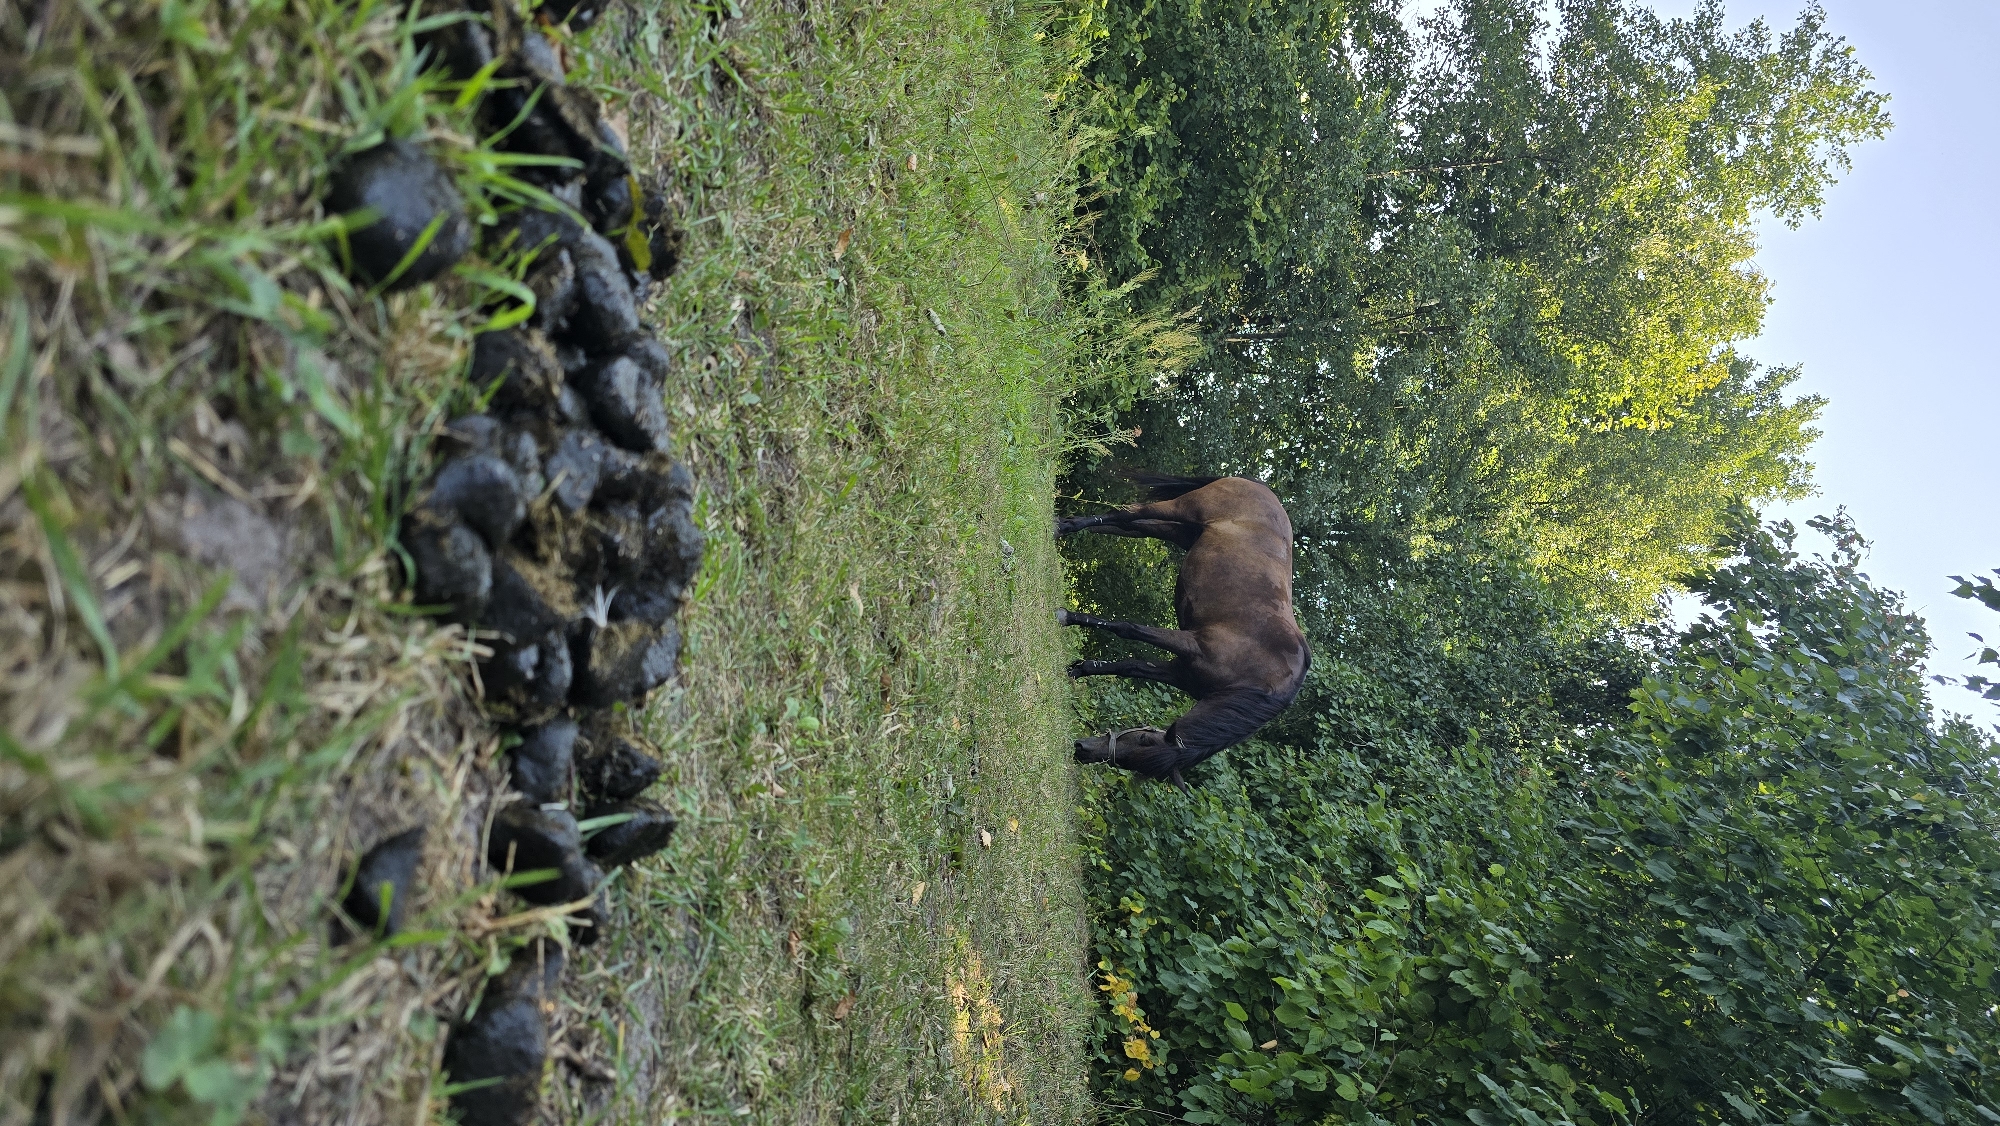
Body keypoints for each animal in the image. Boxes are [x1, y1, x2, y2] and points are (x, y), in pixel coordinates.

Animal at [1058, 474, 1310, 787]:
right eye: (1142, 739)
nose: (1082, 750)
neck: (1259, 677)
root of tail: (1260, 487)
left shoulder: (1180, 672)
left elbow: (1131, 667)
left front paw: (1078, 669)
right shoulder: (1192, 644)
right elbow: (1129, 629)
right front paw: (1066, 617)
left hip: (1184, 533)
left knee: (1133, 526)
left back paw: (1063, 525)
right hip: (1185, 509)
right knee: (1129, 513)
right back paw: (1062, 527)